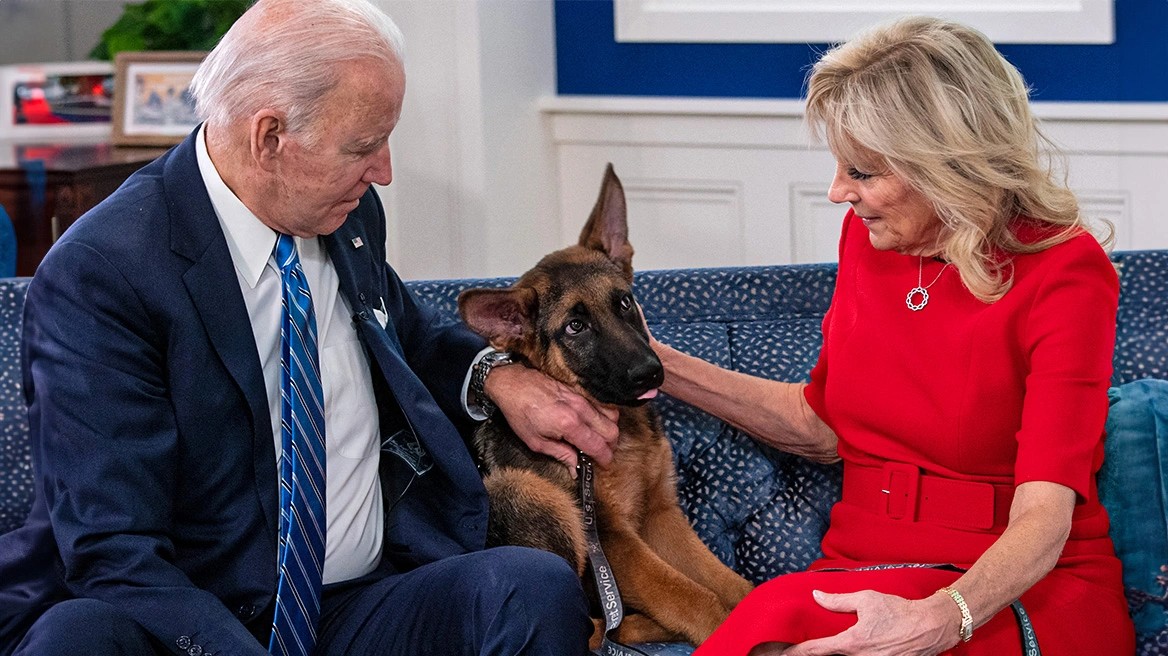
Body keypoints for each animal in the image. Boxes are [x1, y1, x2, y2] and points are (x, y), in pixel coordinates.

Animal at [455, 163, 747, 644]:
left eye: (625, 302)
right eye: (575, 327)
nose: (650, 373)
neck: (621, 428)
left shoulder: (660, 515)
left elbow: (728, 581)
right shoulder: (613, 539)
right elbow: (692, 596)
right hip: (525, 493)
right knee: (593, 628)